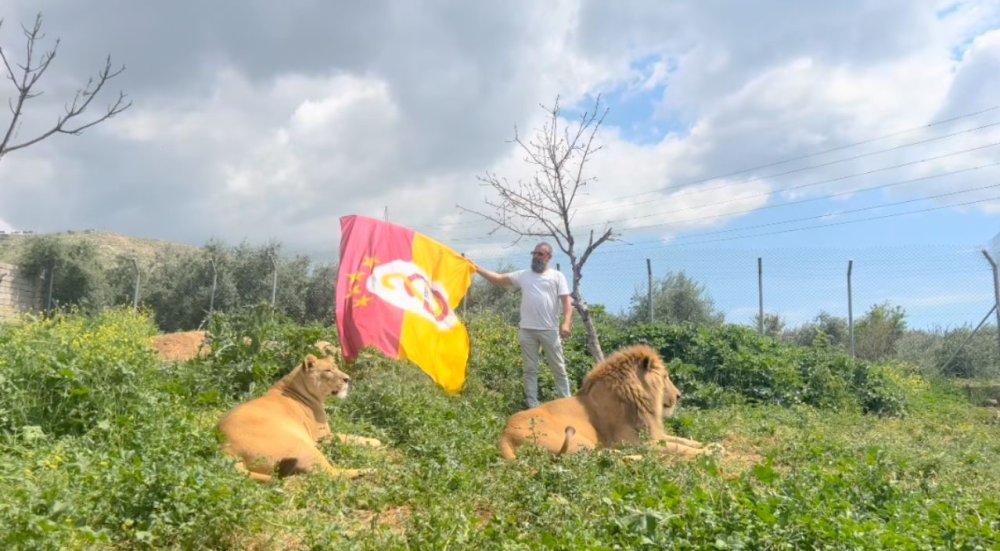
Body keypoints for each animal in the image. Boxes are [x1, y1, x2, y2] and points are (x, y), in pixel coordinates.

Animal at [217, 356, 380, 480]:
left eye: (336, 367)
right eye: (328, 370)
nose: (348, 379)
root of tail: (226, 449)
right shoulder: (323, 438)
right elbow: (348, 437)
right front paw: (376, 442)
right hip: (304, 445)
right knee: (331, 473)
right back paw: (369, 470)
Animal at [496, 344, 716, 462]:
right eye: (665, 377)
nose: (679, 395)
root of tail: (504, 435)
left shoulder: (653, 434)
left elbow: (685, 440)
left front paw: (712, 444)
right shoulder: (637, 442)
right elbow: (679, 447)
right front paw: (707, 452)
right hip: (578, 441)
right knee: (597, 458)